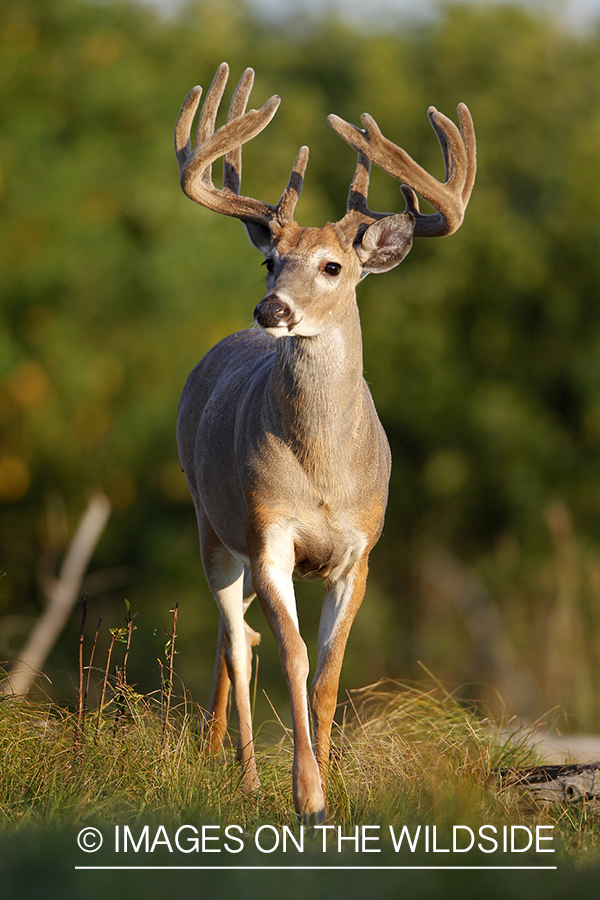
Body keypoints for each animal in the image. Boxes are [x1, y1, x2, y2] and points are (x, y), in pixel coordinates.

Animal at [175, 63, 478, 824]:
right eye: (271, 262)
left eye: (332, 267)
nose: (271, 309)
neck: (323, 476)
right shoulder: (270, 534)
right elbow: (293, 658)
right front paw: (305, 794)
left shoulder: (359, 550)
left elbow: (330, 675)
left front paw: (332, 784)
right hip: (211, 525)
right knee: (236, 641)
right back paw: (247, 777)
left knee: (235, 637)